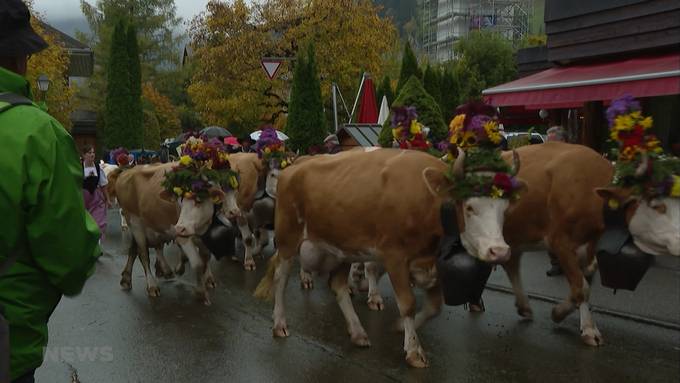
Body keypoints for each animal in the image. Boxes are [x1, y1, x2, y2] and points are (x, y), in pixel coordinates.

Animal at [115, 136, 243, 304]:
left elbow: (206, 257)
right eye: (179, 199)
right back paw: (152, 285)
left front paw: (208, 279)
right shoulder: (183, 235)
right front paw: (200, 291)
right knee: (143, 254)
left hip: (150, 224)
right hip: (134, 222)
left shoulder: (201, 234)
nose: (234, 212)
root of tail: (127, 173)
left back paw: (132, 277)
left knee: (141, 248)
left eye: (234, 188)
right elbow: (197, 263)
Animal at [228, 126, 294, 270]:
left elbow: (264, 239)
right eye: (273, 175)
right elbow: (248, 238)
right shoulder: (241, 211)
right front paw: (249, 261)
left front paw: (257, 251)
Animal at [254, 103, 524, 368]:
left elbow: (434, 307)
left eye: (505, 206)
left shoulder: (430, 262)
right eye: (469, 207)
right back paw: (280, 323)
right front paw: (414, 350)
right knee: (281, 277)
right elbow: (408, 304)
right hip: (288, 238)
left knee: (338, 285)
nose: (500, 251)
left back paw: (358, 332)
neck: (426, 200)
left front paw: (400, 328)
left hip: (340, 247)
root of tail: (294, 168)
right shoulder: (395, 257)